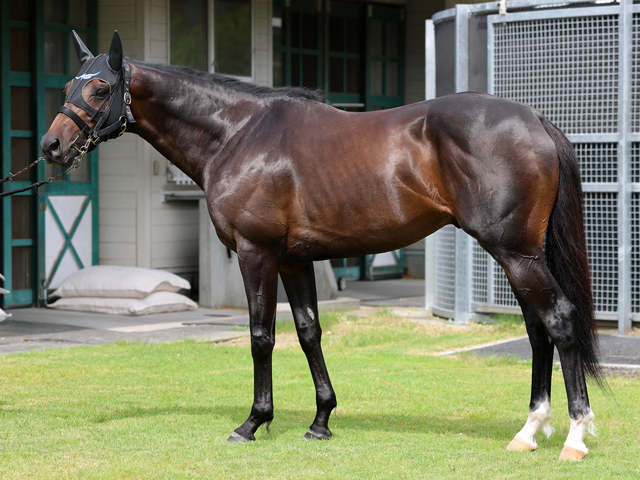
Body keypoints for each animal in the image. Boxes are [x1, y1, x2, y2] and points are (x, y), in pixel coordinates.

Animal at [40, 31, 604, 461]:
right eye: (69, 84)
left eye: (100, 89)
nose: (50, 147)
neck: (237, 134)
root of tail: (534, 120)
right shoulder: (295, 259)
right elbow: (309, 332)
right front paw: (320, 421)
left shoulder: (257, 253)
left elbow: (261, 336)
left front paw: (253, 423)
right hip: (520, 255)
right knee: (537, 332)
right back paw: (529, 432)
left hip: (516, 254)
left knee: (558, 321)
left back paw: (574, 437)